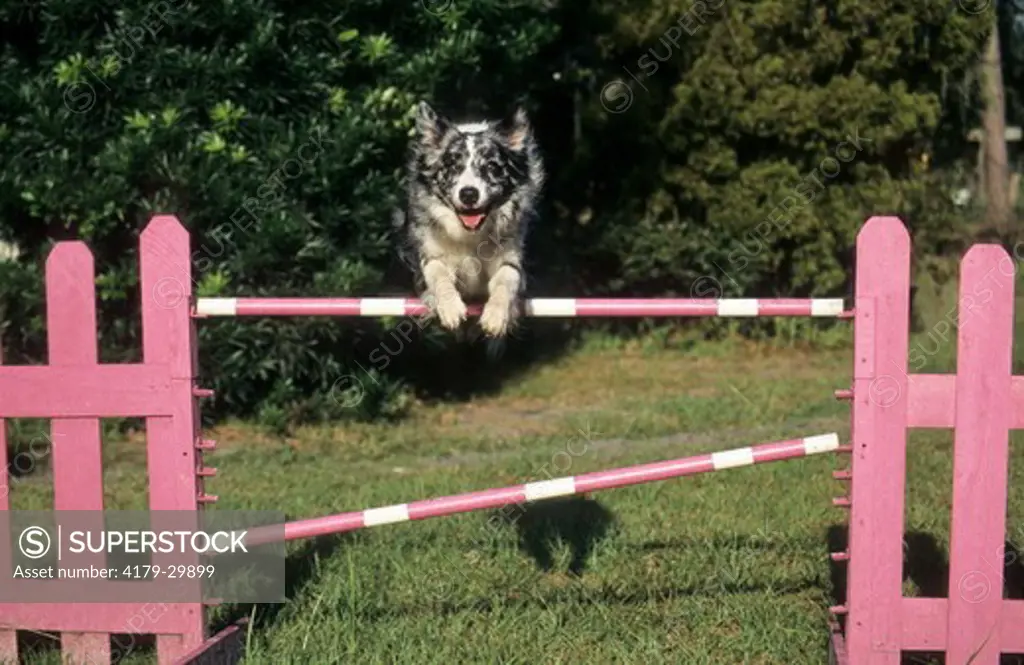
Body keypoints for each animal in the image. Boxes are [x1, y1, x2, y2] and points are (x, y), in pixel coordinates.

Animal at [393, 100, 544, 340]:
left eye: (491, 167)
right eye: (453, 166)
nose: (469, 194)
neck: (471, 234)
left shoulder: (512, 257)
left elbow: (507, 278)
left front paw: (496, 316)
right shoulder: (429, 253)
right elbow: (436, 272)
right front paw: (450, 308)